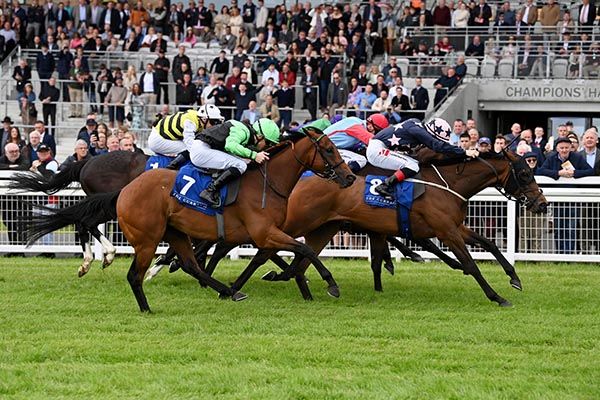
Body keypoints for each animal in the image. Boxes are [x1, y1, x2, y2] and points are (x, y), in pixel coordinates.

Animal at [21, 127, 356, 312]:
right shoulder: (263, 232)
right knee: (117, 252)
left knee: (189, 264)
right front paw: (330, 284)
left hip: (173, 231)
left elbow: (283, 254)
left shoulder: (257, 234)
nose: (350, 176)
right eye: (329, 149)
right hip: (147, 236)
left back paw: (227, 290)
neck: (267, 182)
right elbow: (305, 250)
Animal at [212, 150, 548, 307]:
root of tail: (304, 178)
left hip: (324, 228)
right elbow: (472, 264)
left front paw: (514, 278)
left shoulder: (453, 227)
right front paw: (497, 296)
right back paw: (236, 284)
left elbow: (489, 245)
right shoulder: (446, 231)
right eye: (524, 172)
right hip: (297, 221)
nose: (542, 204)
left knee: (299, 258)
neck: (448, 183)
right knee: (262, 250)